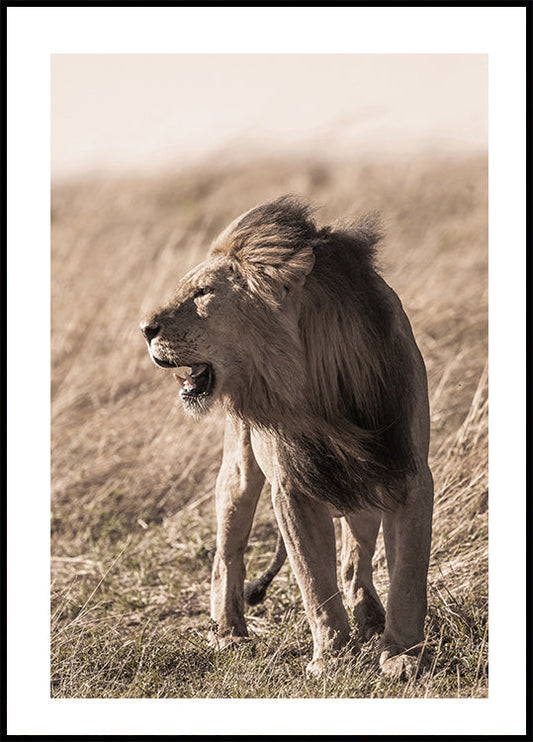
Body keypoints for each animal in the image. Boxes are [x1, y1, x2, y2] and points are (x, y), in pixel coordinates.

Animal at [141, 196, 432, 680]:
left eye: (202, 293)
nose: (144, 329)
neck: (318, 387)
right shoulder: (292, 489)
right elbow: (314, 581)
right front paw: (332, 658)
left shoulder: (405, 472)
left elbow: (408, 576)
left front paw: (401, 656)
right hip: (239, 473)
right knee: (226, 556)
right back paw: (229, 634)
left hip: (362, 489)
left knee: (354, 561)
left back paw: (371, 619)